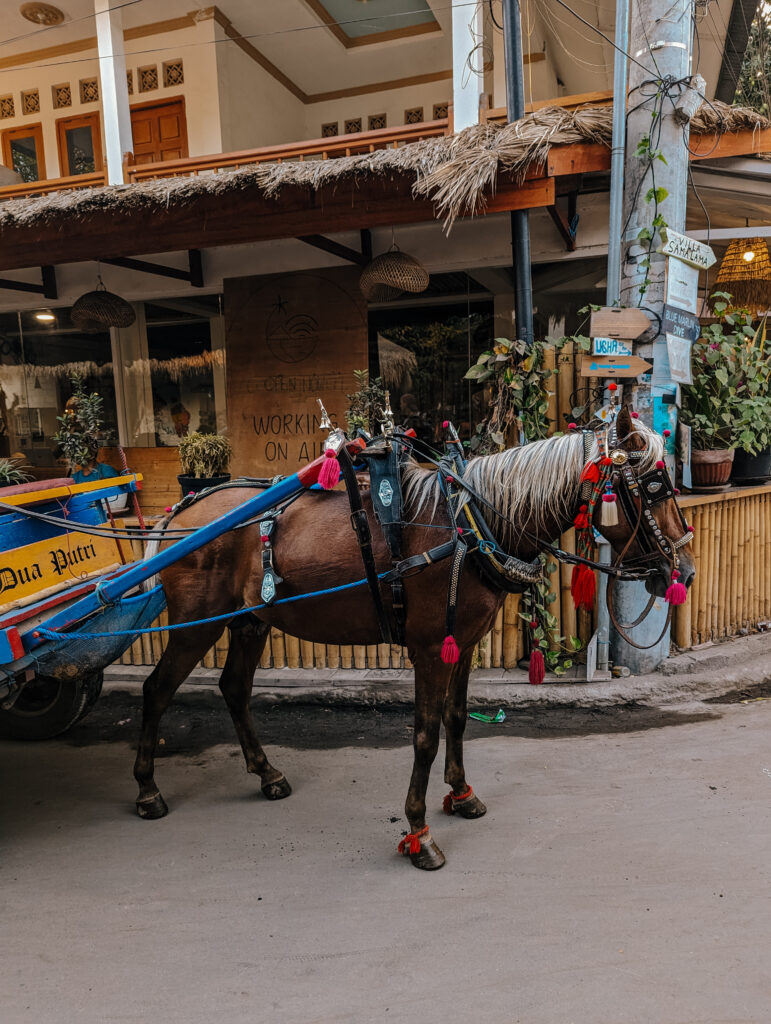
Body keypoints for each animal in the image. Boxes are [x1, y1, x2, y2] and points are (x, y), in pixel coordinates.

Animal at [131, 403, 692, 868]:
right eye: (655, 488)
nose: (683, 571)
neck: (472, 524)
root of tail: (183, 511)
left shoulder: (463, 643)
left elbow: (457, 719)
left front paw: (462, 794)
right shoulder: (429, 650)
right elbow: (424, 735)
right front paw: (419, 833)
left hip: (251, 620)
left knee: (234, 688)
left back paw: (267, 773)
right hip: (196, 624)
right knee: (156, 690)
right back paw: (147, 790)